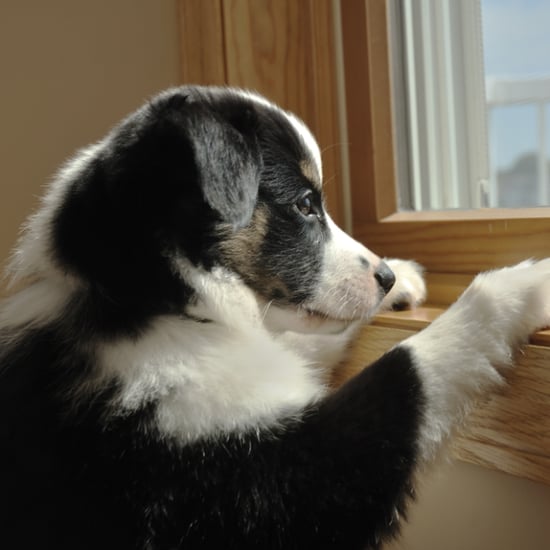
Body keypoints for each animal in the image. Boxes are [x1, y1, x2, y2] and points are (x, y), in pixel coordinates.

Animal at [1, 84, 550, 548]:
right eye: (306, 204)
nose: (387, 276)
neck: (160, 303)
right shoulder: (265, 481)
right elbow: (409, 368)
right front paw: (522, 283)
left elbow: (306, 339)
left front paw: (408, 282)